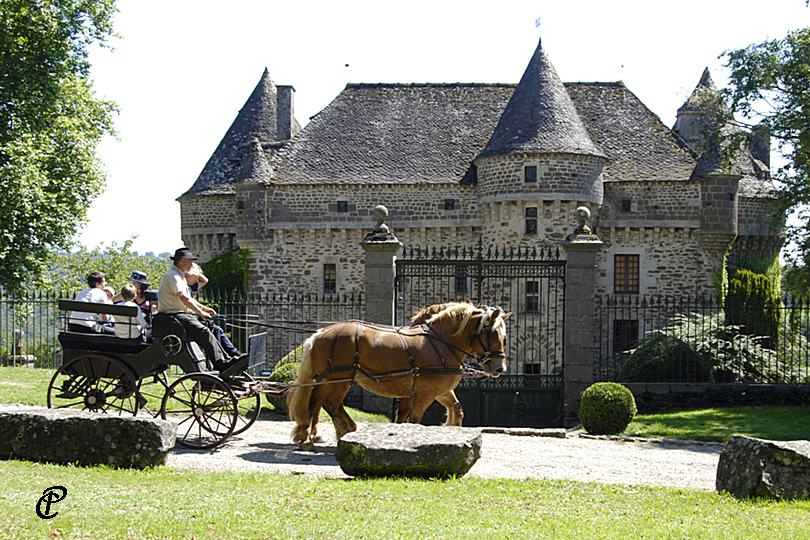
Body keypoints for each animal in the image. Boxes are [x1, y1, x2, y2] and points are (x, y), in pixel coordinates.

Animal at [288, 302, 508, 450]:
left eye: (504, 337)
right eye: (494, 334)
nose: (500, 368)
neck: (441, 342)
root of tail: (320, 333)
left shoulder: (437, 391)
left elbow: (457, 409)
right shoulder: (424, 395)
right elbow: (414, 421)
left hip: (327, 380)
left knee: (315, 405)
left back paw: (310, 435)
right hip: (338, 380)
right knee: (330, 405)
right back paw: (344, 430)